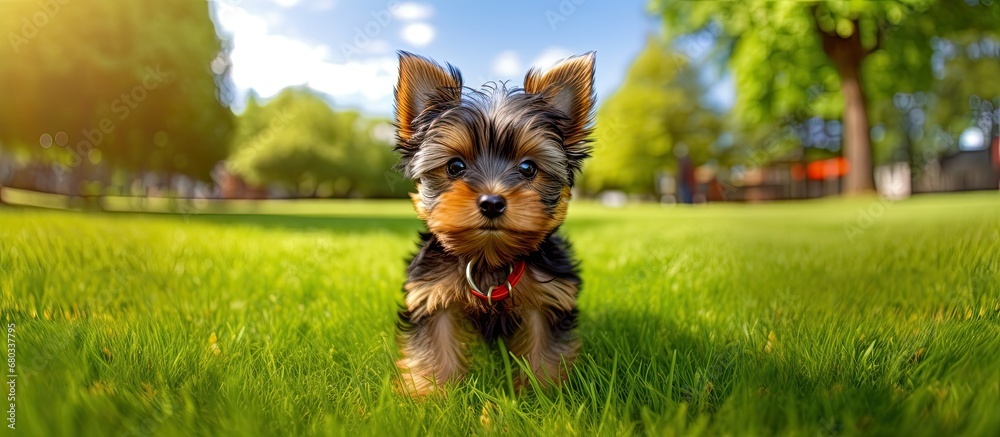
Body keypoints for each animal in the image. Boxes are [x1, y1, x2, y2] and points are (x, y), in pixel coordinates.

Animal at [390, 50, 592, 396]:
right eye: (455, 166)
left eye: (528, 167)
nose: (492, 202)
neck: (489, 258)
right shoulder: (432, 293)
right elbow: (434, 344)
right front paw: (430, 395)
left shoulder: (548, 297)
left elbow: (544, 348)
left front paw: (544, 393)